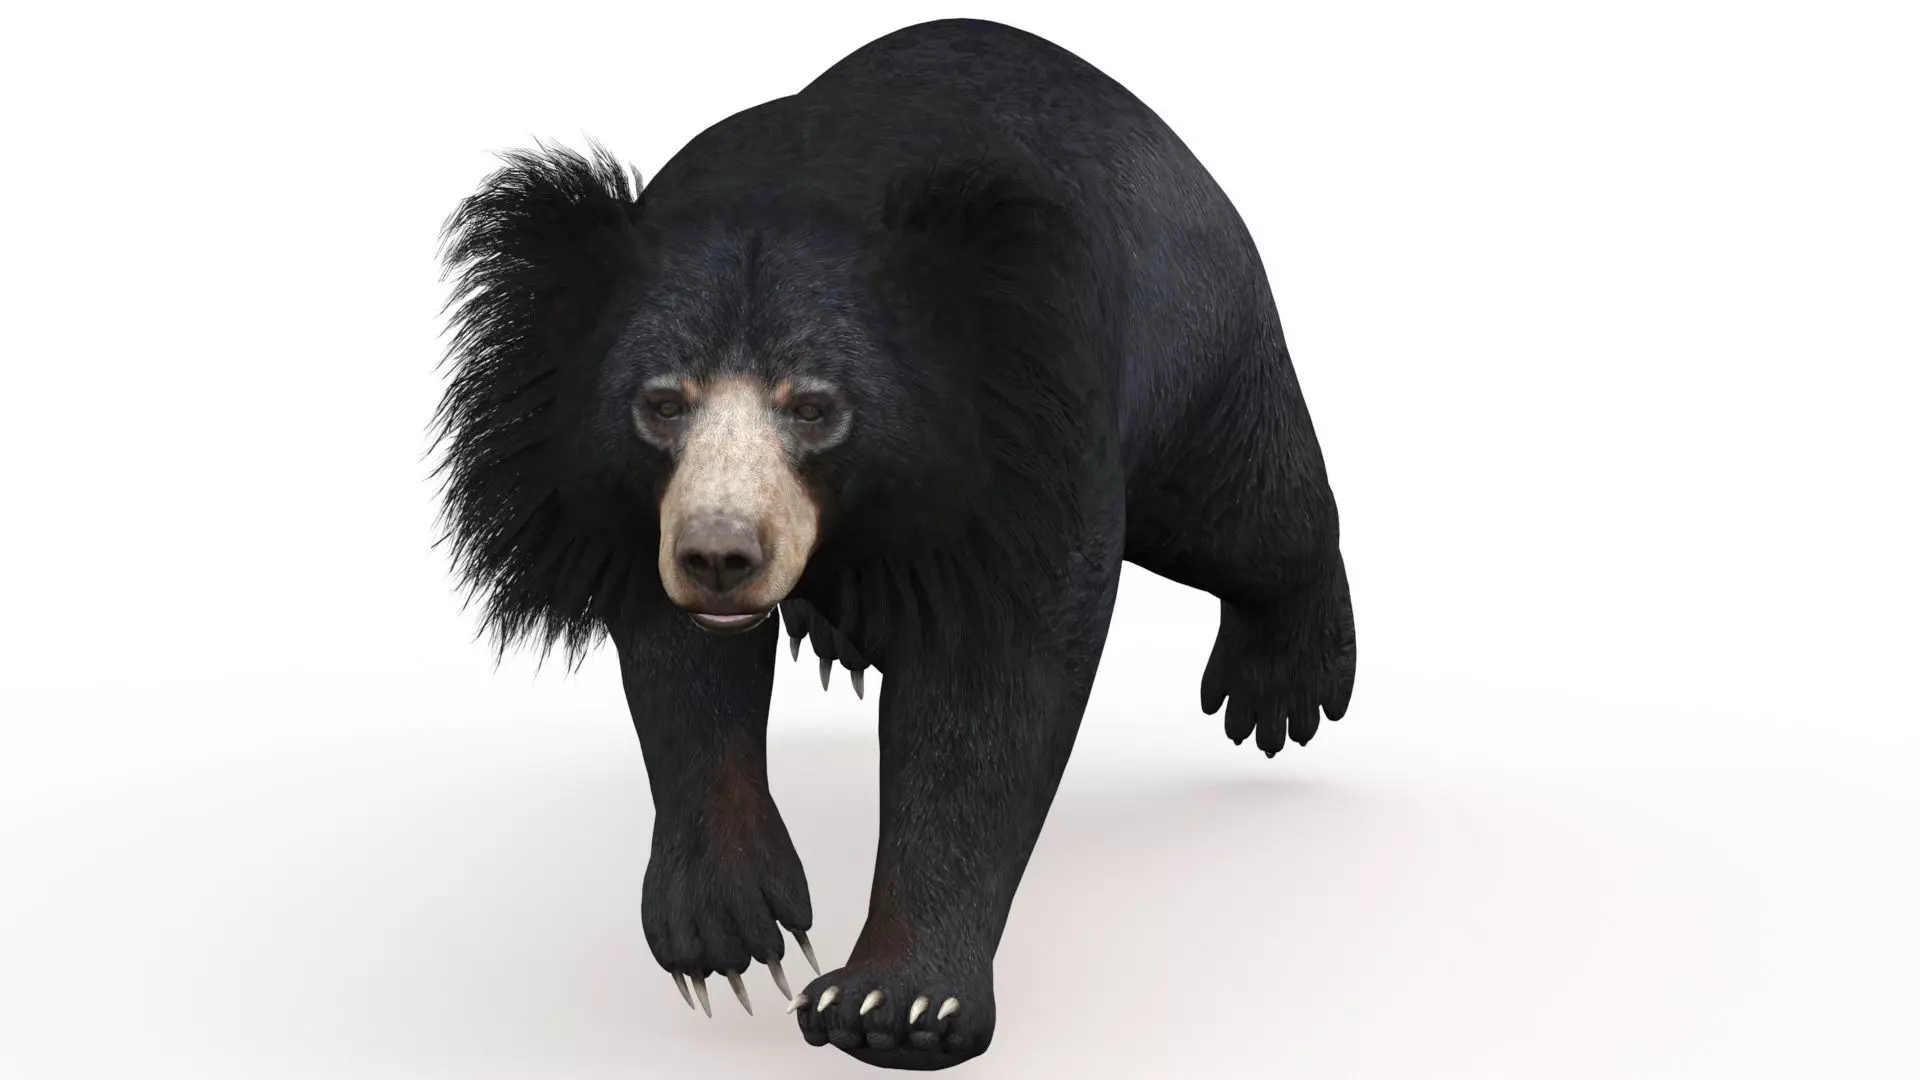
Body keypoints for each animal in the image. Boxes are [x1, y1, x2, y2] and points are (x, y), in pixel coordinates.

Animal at [434, 17, 1356, 1071]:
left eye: (817, 408)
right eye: (661, 403)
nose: (720, 557)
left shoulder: (1026, 436)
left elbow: (988, 689)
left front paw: (895, 1004)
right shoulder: (630, 506)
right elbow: (680, 671)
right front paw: (730, 936)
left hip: (1192, 344)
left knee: (1246, 512)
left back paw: (1280, 690)